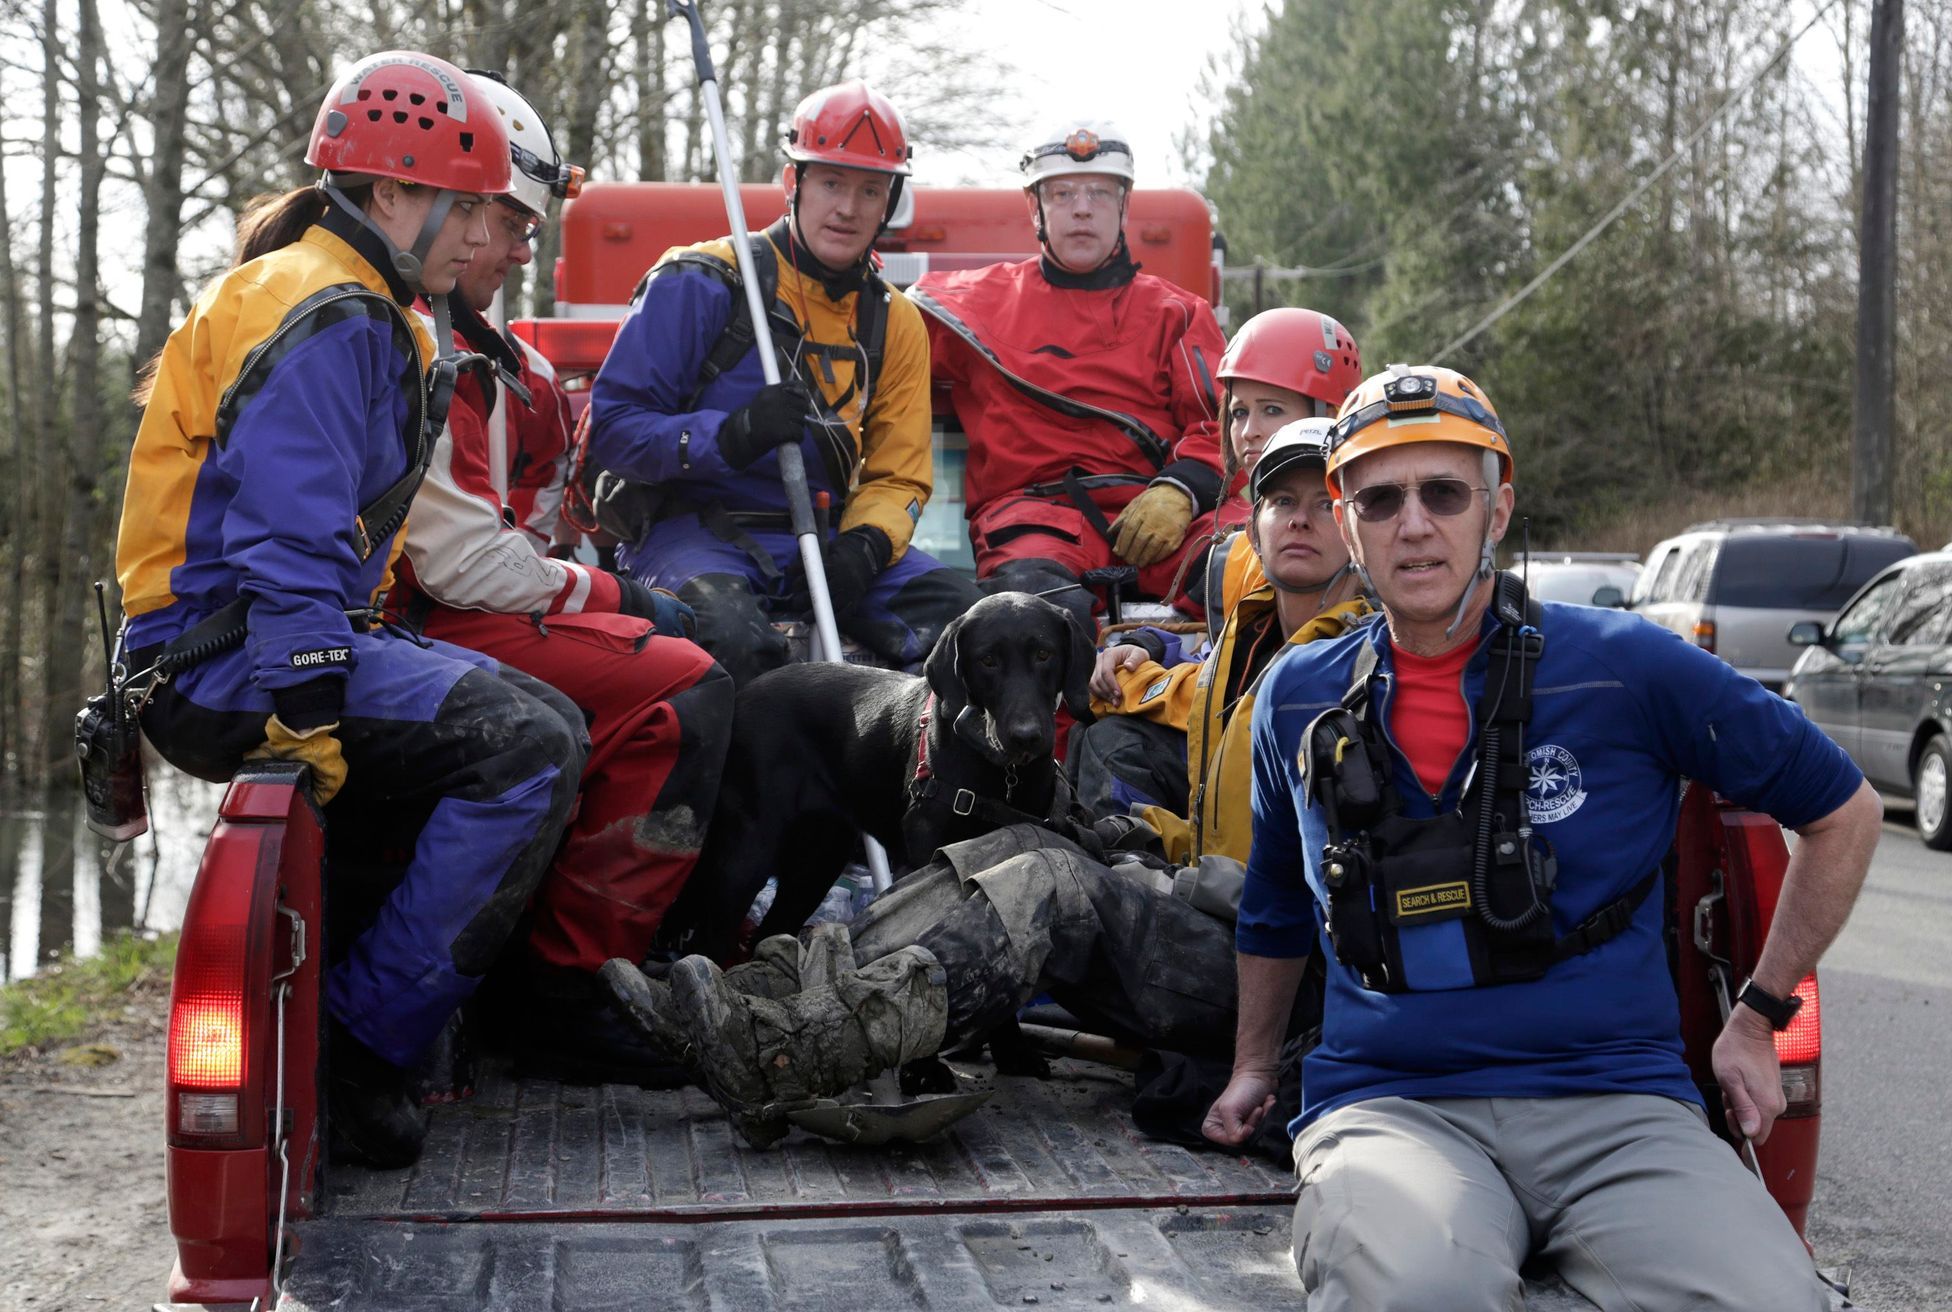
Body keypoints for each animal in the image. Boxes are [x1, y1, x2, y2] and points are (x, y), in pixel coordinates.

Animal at [667, 593, 1100, 964]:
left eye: (1044, 654)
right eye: (987, 661)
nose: (1025, 736)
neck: (1001, 772)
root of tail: (742, 693)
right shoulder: (926, 854)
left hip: (816, 862)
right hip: (746, 856)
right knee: (710, 938)